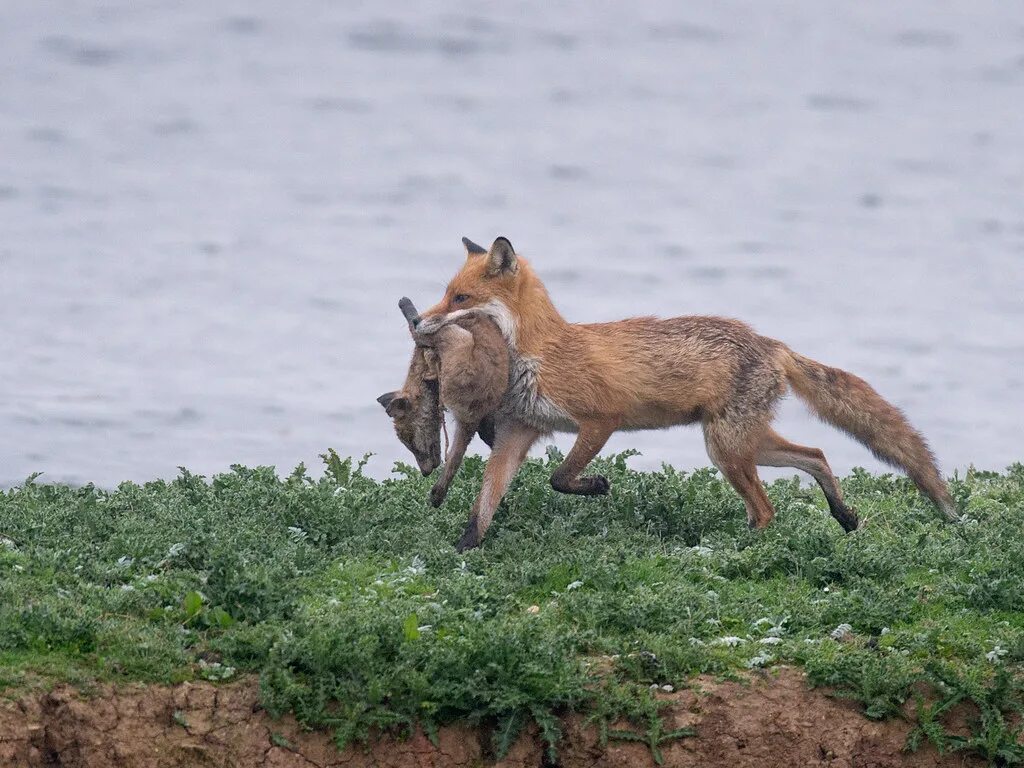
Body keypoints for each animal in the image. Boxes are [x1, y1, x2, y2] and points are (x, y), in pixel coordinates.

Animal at [417, 237, 958, 548]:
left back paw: (739, 552)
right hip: (743, 443)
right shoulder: (518, 432)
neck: (539, 353)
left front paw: (597, 486)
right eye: (444, 293)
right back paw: (843, 516)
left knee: (768, 508)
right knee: (817, 455)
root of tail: (771, 343)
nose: (418, 322)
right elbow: (483, 506)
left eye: (460, 298)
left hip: (726, 448)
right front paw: (464, 553)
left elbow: (560, 477)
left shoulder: (601, 418)